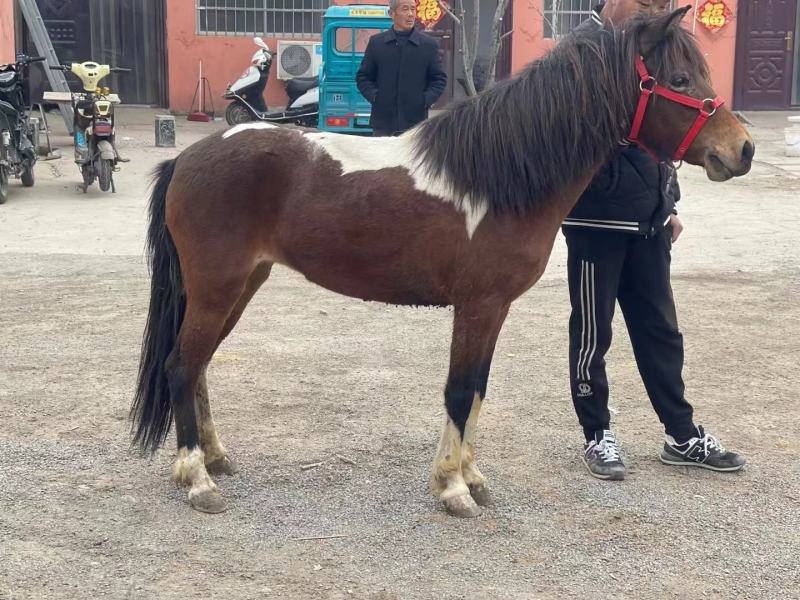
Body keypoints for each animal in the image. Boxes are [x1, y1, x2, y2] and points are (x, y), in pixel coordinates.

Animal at [131, 7, 754, 516]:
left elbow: (477, 389)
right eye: (678, 81)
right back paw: (198, 480)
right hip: (218, 287)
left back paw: (216, 458)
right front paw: (453, 490)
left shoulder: (494, 310)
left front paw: (471, 478)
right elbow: (458, 390)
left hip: (238, 286)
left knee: (199, 366)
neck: (501, 177)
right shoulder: (477, 306)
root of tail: (187, 159)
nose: (742, 149)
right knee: (182, 367)